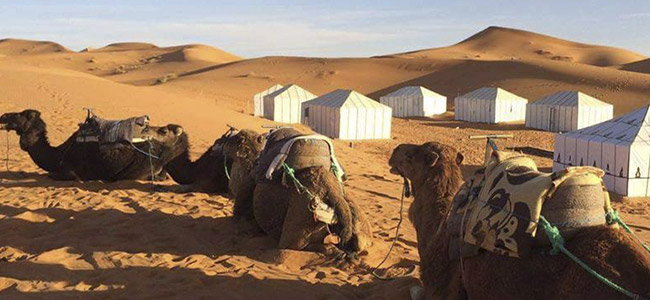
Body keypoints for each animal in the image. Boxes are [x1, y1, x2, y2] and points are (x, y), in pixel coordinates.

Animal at [220, 129, 370, 258]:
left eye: (238, 139)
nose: (224, 145)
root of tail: (332, 190)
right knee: (354, 243)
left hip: (302, 212)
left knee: (300, 246)